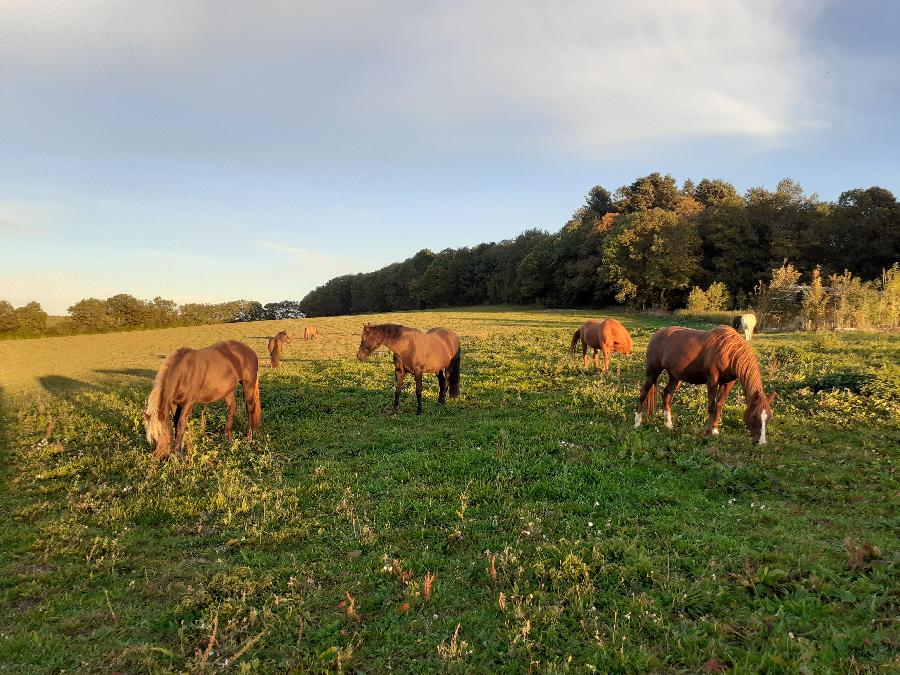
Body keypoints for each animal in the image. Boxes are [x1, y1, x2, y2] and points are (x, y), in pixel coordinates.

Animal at [632, 326, 772, 444]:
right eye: (754, 416)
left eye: (769, 417)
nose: (761, 442)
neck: (728, 350)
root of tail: (656, 334)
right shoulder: (712, 379)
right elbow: (711, 406)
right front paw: (707, 431)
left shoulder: (728, 382)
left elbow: (719, 405)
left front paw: (715, 430)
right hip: (652, 372)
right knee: (643, 393)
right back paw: (637, 423)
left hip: (674, 376)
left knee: (666, 395)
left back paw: (668, 424)